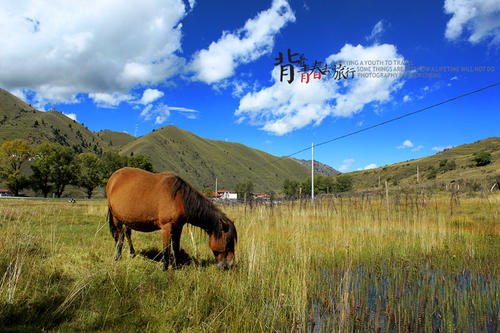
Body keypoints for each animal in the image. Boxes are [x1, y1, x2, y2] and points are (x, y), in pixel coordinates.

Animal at [105, 167, 236, 268]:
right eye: (228, 243)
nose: (229, 266)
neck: (179, 198)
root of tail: (113, 177)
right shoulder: (166, 227)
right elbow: (166, 249)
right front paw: (165, 268)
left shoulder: (178, 227)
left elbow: (175, 246)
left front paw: (177, 266)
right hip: (117, 218)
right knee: (120, 237)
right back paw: (118, 257)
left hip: (127, 220)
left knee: (127, 234)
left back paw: (132, 254)